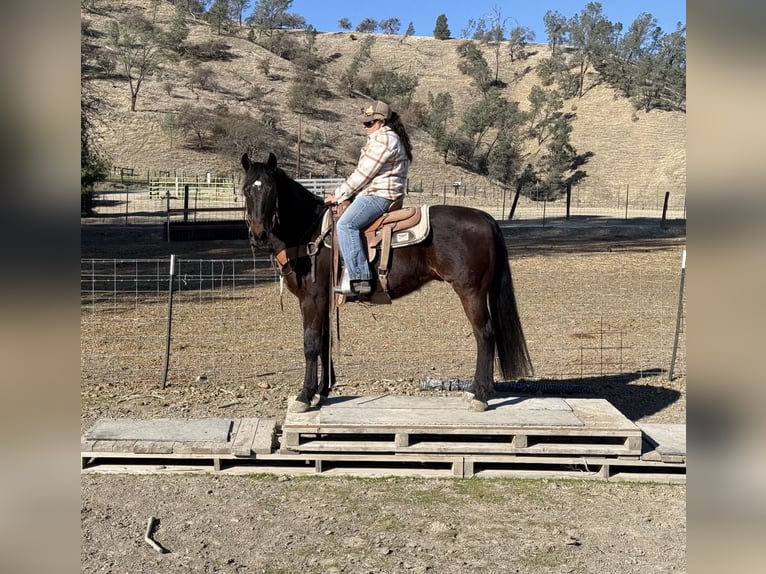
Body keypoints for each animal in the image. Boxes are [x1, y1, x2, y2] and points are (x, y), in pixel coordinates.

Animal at [243, 153, 532, 414]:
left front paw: (304, 396)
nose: (258, 234)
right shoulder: (323, 300)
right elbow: (325, 342)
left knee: (485, 334)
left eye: (270, 189)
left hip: (471, 291)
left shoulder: (312, 298)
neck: (310, 231)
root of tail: (485, 218)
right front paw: (320, 392)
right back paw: (477, 391)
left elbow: (311, 343)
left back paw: (479, 396)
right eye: (246, 189)